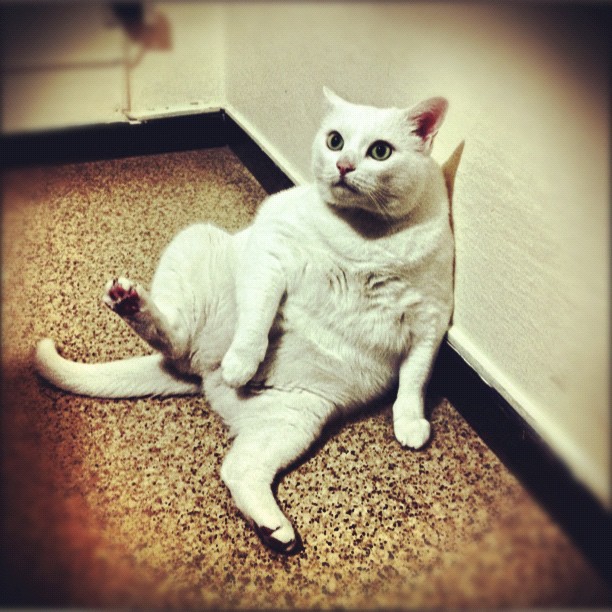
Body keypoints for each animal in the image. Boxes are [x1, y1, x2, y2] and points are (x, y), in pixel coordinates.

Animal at [35, 88, 461, 555]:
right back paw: (140, 308)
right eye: (335, 141)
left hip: (295, 418)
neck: (364, 240)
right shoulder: (271, 255)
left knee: (237, 469)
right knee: (176, 338)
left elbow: (415, 380)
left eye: (380, 151)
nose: (344, 165)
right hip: (198, 242)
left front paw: (409, 423)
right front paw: (244, 361)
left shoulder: (430, 318)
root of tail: (203, 372)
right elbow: (258, 314)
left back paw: (275, 530)